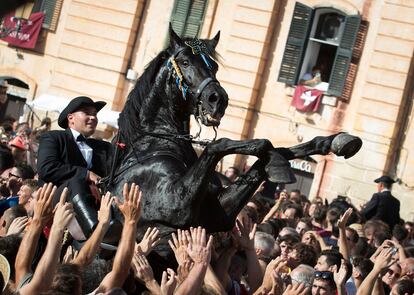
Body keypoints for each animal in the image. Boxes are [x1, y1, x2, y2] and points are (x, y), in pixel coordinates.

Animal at [107, 24, 362, 262]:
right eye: (185, 62)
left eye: (214, 66)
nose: (217, 99)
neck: (156, 141)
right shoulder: (175, 203)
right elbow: (223, 144)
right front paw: (277, 163)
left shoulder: (215, 215)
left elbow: (272, 153)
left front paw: (334, 142)